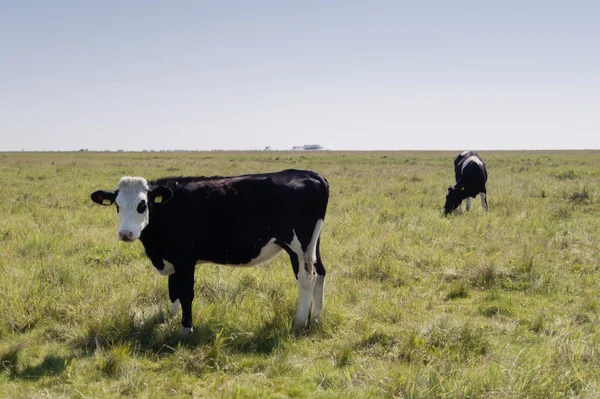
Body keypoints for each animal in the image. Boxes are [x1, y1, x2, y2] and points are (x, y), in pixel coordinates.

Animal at [91, 170, 330, 338]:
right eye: (117, 205)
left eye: (142, 205)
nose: (126, 233)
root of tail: (311, 174)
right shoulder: (172, 258)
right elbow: (173, 290)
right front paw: (170, 318)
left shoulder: (185, 260)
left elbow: (186, 293)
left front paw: (186, 329)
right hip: (313, 246)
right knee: (320, 273)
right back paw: (315, 319)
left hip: (298, 248)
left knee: (306, 281)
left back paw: (298, 324)